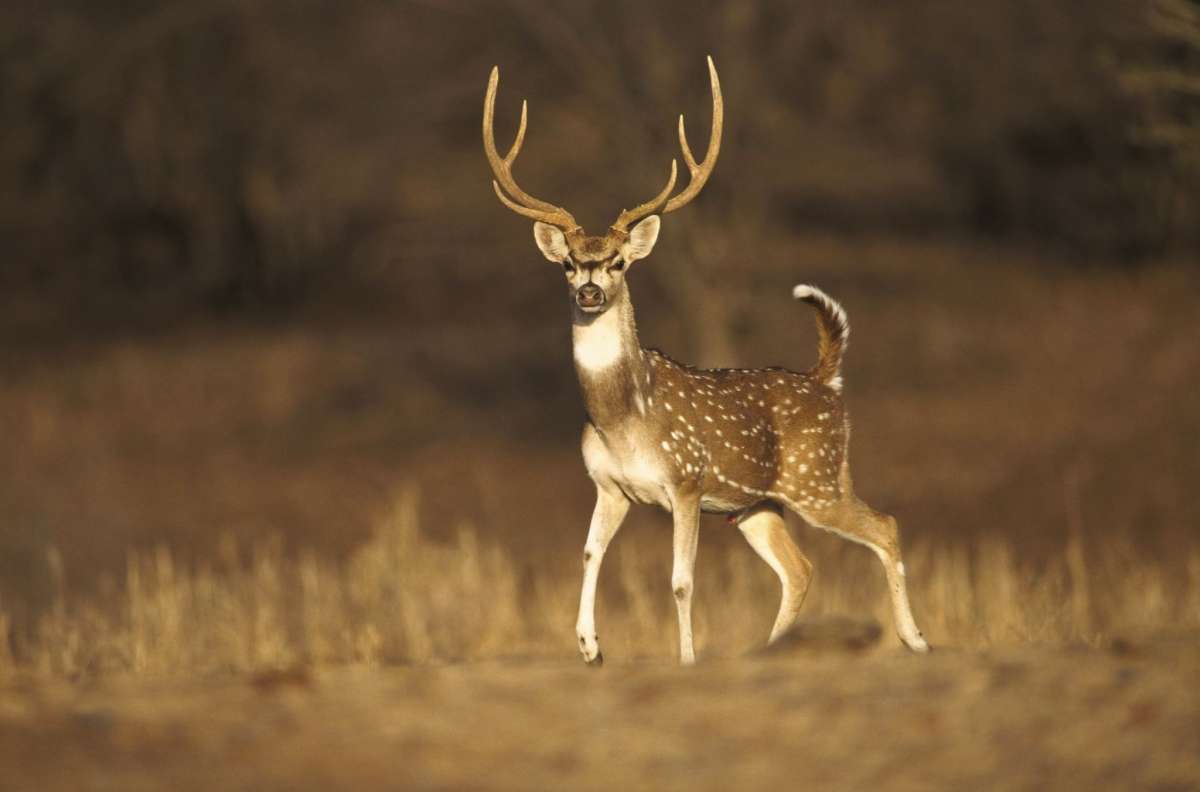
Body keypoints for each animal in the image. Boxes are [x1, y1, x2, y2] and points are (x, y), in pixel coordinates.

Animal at [482, 54, 931, 662]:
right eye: (569, 264)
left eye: (619, 262)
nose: (590, 292)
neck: (624, 421)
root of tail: (826, 380)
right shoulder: (609, 486)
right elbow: (590, 553)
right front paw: (590, 646)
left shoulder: (687, 481)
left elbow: (680, 580)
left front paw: (686, 659)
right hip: (758, 505)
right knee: (800, 568)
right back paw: (769, 649)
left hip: (817, 479)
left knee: (884, 525)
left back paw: (916, 640)